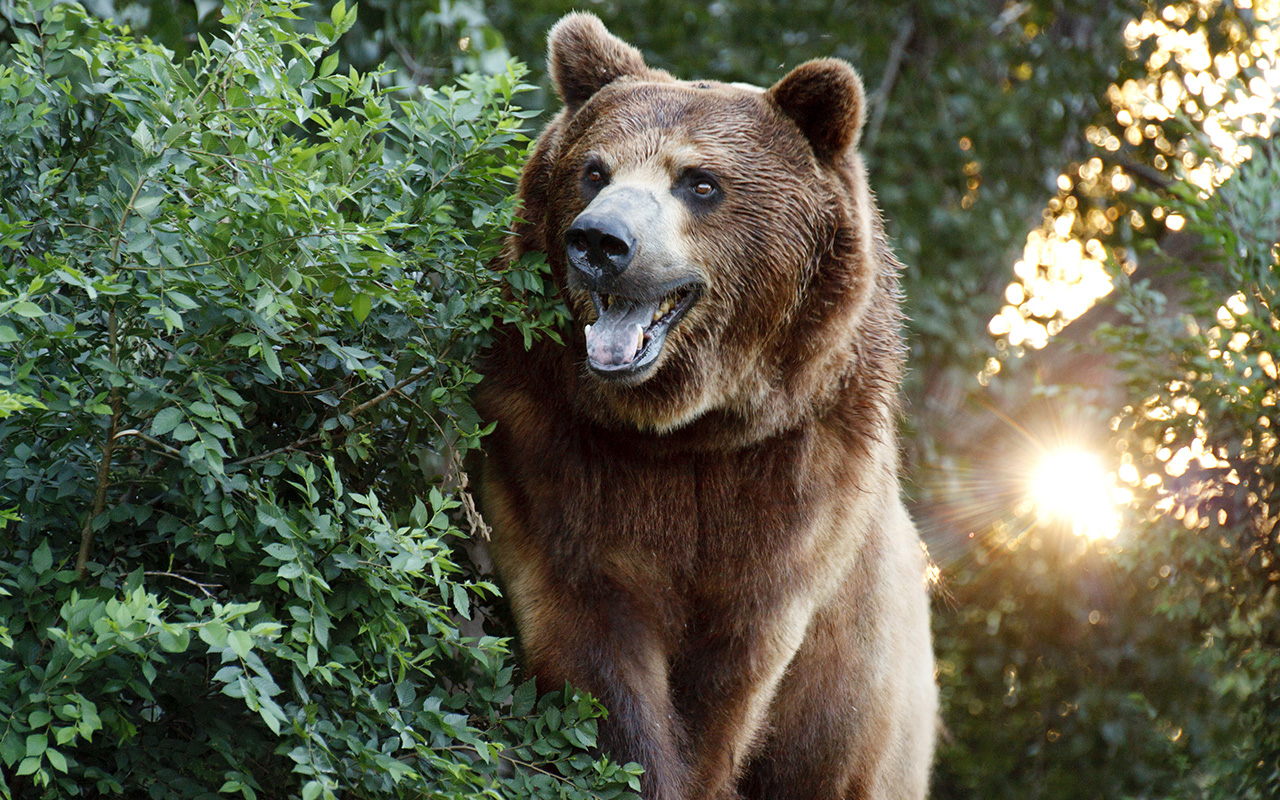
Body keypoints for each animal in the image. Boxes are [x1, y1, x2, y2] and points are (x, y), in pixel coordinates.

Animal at [476, 14, 936, 798]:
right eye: (594, 170)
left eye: (700, 181)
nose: (600, 241)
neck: (687, 429)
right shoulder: (553, 454)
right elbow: (592, 639)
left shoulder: (793, 494)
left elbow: (728, 676)